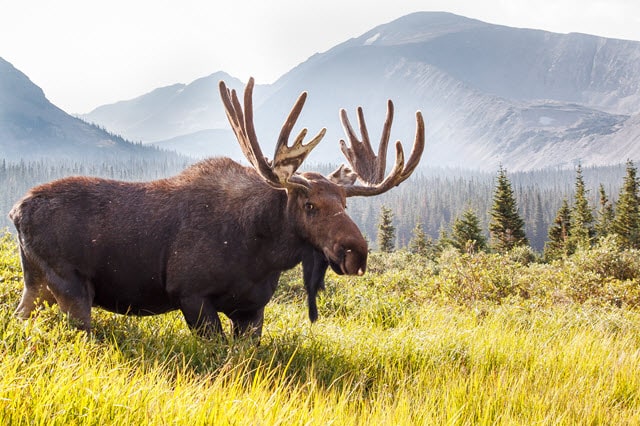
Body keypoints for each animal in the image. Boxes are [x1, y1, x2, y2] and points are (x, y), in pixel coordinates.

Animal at [8, 78, 424, 340]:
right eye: (309, 205)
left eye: (344, 203)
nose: (357, 253)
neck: (263, 252)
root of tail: (16, 212)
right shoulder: (191, 295)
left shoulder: (252, 309)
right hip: (71, 285)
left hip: (37, 284)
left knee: (18, 317)